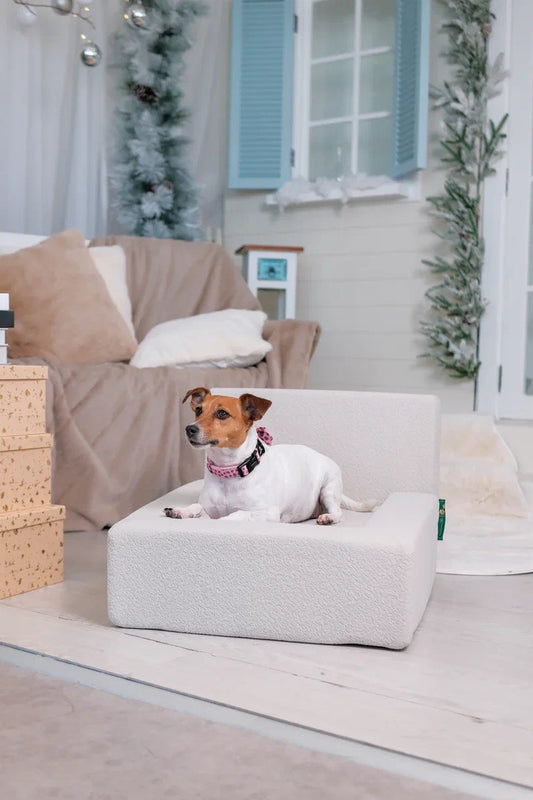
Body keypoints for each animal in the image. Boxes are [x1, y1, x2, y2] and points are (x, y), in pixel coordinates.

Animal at [164, 388, 376, 524]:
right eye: (199, 410)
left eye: (222, 414)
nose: (189, 429)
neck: (228, 471)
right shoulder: (209, 508)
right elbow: (197, 507)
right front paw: (181, 511)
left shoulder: (265, 513)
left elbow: (234, 515)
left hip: (328, 490)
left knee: (338, 512)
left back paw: (329, 517)